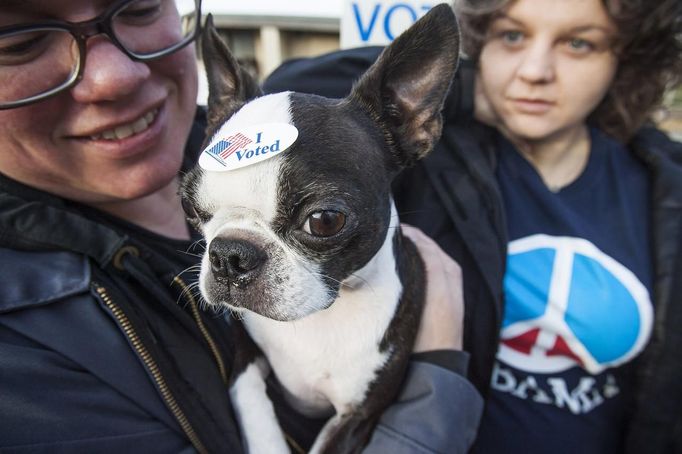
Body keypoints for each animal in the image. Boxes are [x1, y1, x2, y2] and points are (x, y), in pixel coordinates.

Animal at [181, 4, 456, 454]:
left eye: (325, 220)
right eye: (190, 206)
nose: (230, 254)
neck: (319, 318)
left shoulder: (355, 417)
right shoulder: (244, 360)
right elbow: (256, 409)